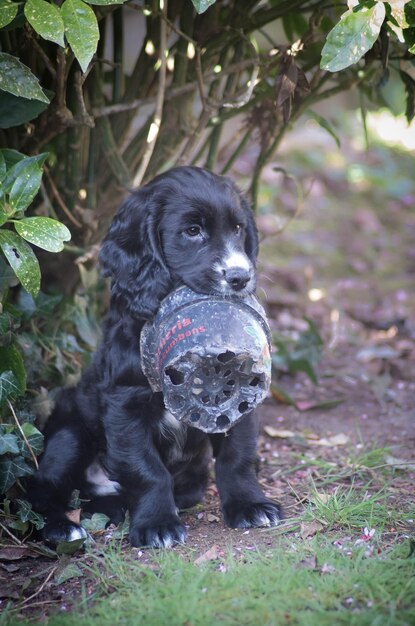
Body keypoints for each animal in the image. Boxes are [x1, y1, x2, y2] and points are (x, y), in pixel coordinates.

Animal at [27, 167, 282, 544]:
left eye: (238, 229)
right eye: (192, 231)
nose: (240, 277)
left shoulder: (241, 394)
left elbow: (237, 456)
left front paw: (251, 505)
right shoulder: (125, 405)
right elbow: (146, 469)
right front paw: (157, 524)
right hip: (68, 435)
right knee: (41, 490)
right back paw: (63, 527)